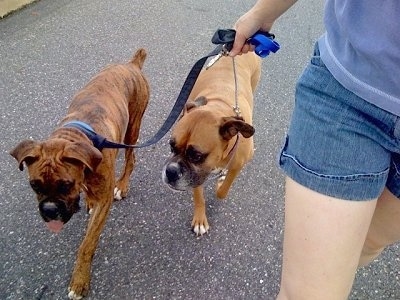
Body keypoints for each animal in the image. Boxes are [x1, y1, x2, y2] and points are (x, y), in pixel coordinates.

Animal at [9, 48, 150, 298]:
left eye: (66, 185)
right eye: (34, 185)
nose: (49, 210)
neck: (77, 135)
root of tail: (131, 64)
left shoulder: (104, 201)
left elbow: (87, 244)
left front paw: (79, 281)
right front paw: (88, 201)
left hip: (132, 128)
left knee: (131, 159)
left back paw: (123, 185)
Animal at [162, 52, 262, 237]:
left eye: (196, 156)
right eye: (172, 146)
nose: (170, 171)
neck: (219, 106)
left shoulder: (237, 165)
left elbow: (223, 192)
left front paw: (220, 183)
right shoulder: (197, 175)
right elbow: (198, 196)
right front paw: (200, 219)